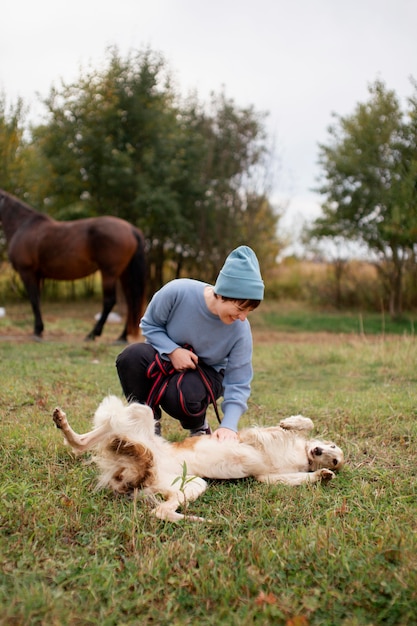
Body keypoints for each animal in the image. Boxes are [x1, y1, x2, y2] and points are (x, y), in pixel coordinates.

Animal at [0, 189, 146, 342]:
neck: (23, 226)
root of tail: (131, 229)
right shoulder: (37, 275)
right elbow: (38, 301)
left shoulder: (27, 272)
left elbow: (34, 301)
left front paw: (37, 331)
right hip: (124, 274)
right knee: (131, 301)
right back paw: (122, 336)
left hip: (109, 273)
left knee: (109, 301)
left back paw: (92, 334)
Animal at [52, 394, 344, 520]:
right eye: (331, 446)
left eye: (336, 460)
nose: (320, 452)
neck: (300, 456)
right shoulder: (251, 435)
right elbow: (300, 424)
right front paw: (291, 422)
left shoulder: (267, 477)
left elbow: (297, 476)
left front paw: (322, 475)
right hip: (141, 412)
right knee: (91, 437)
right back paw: (62, 422)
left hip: (189, 484)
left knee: (160, 511)